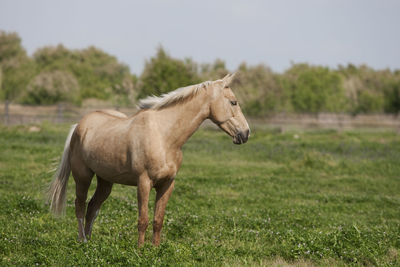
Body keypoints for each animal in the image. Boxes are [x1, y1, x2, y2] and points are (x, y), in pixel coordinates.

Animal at [48, 73, 250, 247]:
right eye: (233, 102)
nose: (246, 133)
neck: (164, 136)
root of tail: (79, 126)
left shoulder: (167, 184)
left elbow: (158, 220)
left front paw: (155, 249)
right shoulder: (144, 182)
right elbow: (143, 220)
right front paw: (140, 250)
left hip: (105, 181)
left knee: (92, 208)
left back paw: (90, 242)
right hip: (82, 177)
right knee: (80, 206)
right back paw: (82, 240)